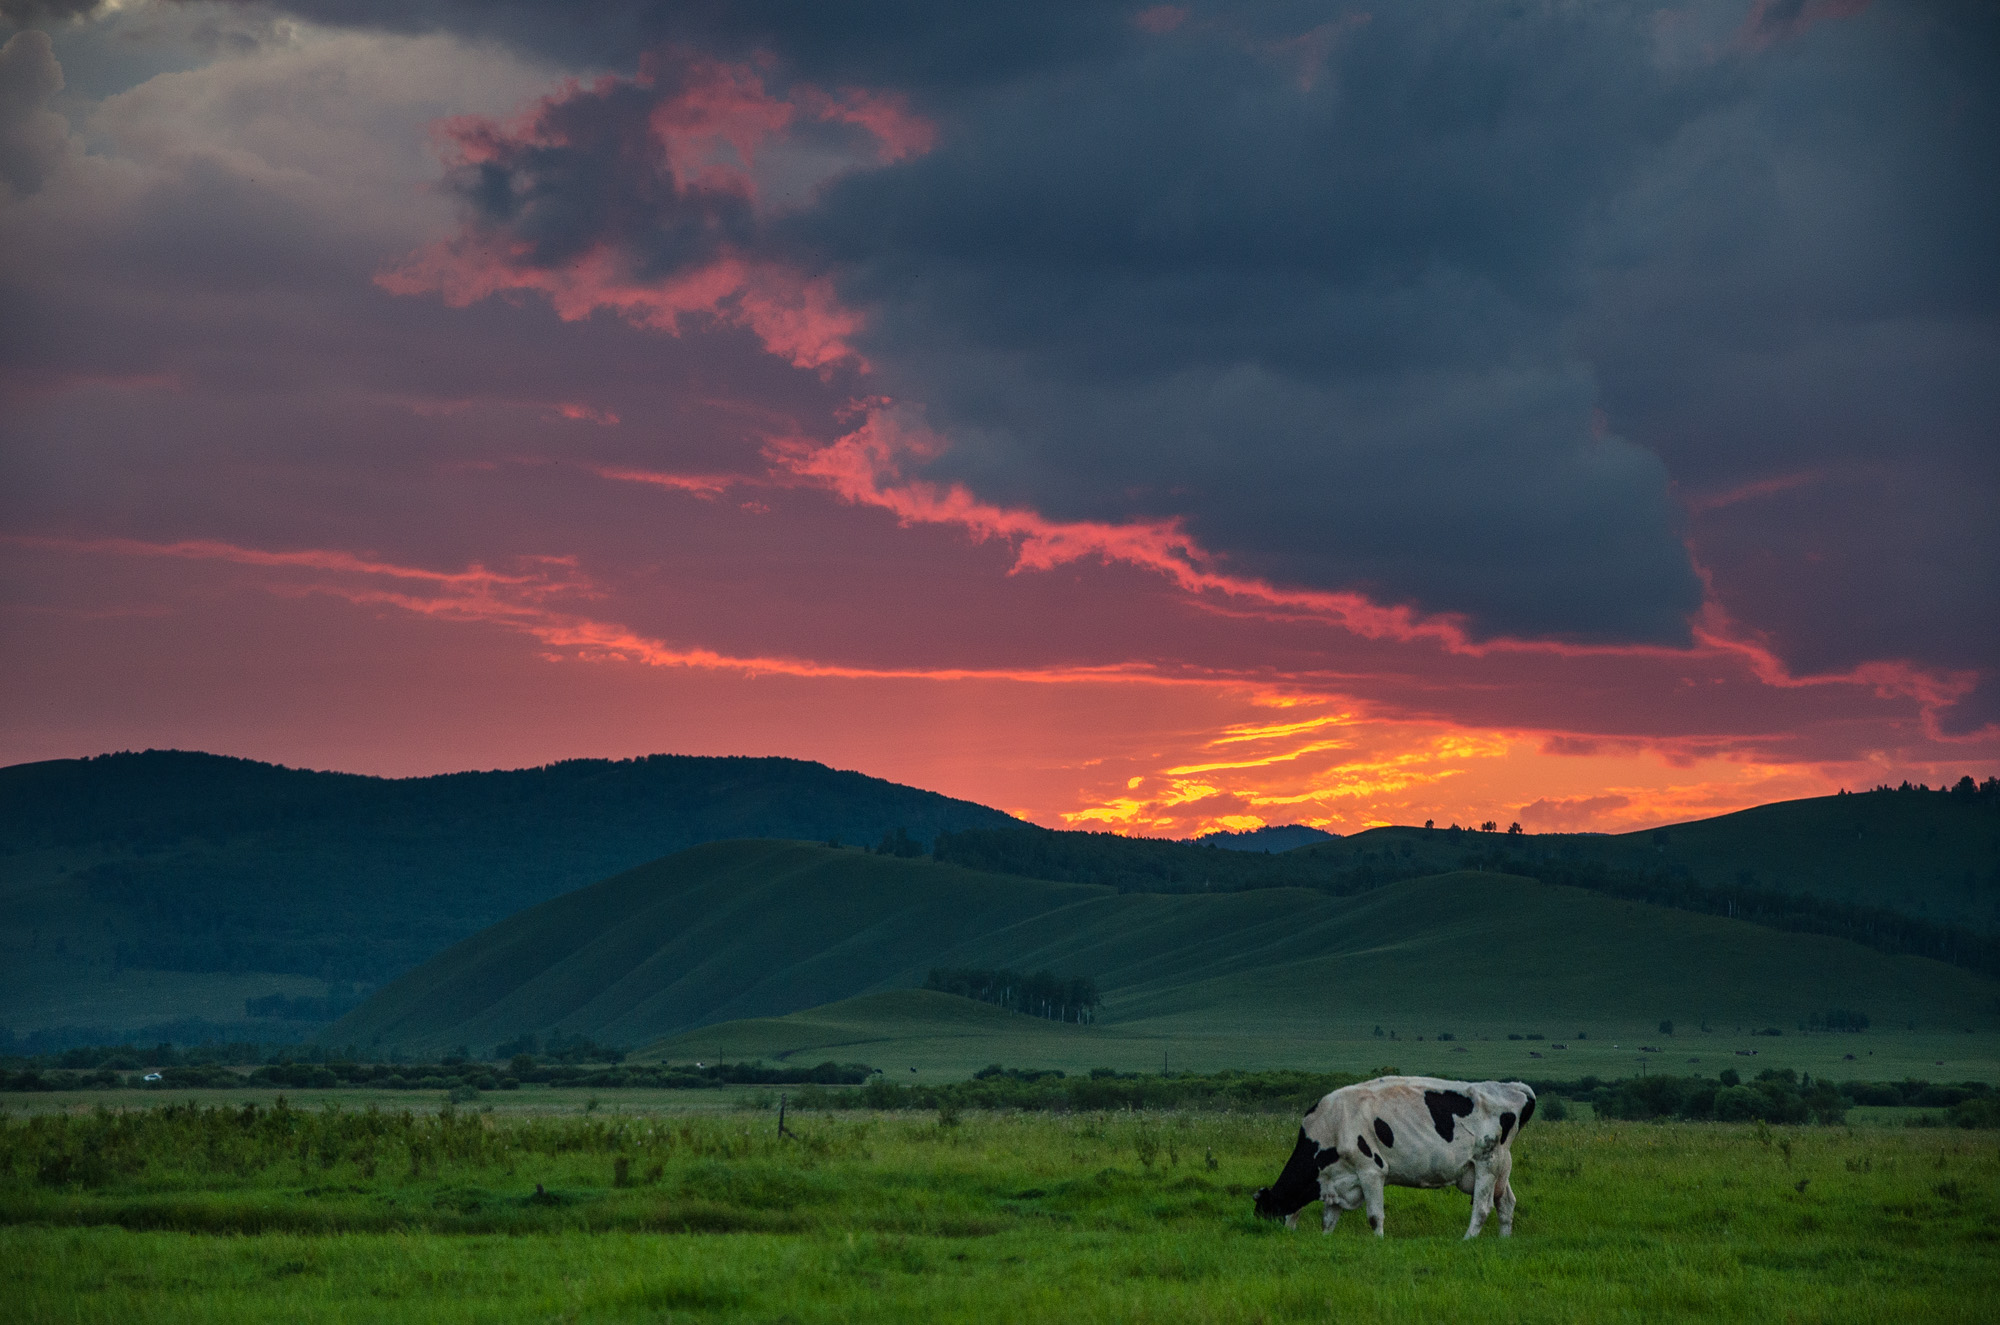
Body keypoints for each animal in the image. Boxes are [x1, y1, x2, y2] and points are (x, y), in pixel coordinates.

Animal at [1256, 1072, 1536, 1240]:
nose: (1280, 1235)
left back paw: (1467, 1240)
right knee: (1506, 1203)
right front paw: (1326, 1240)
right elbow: (1328, 1219)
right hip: (1500, 1166)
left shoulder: (1371, 1170)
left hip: (1486, 1164)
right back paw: (1504, 1240)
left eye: (1266, 1212)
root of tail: (1512, 1087)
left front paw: (1378, 1242)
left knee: (1482, 1207)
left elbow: (1374, 1215)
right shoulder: (1337, 1179)